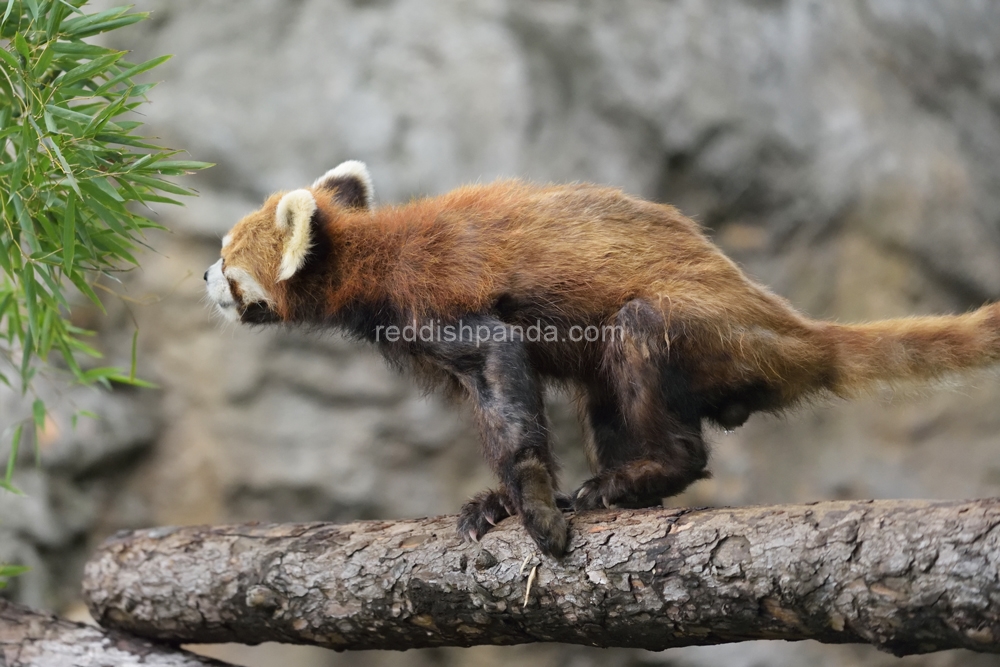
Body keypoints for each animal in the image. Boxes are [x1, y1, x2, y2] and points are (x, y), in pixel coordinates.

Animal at [207, 162, 1000, 560]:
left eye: (227, 260)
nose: (204, 277)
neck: (367, 258)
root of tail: (786, 323)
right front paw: (498, 501)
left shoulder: (437, 302)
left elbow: (500, 373)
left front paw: (532, 507)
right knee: (605, 395)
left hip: (696, 327)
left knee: (640, 344)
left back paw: (641, 474)